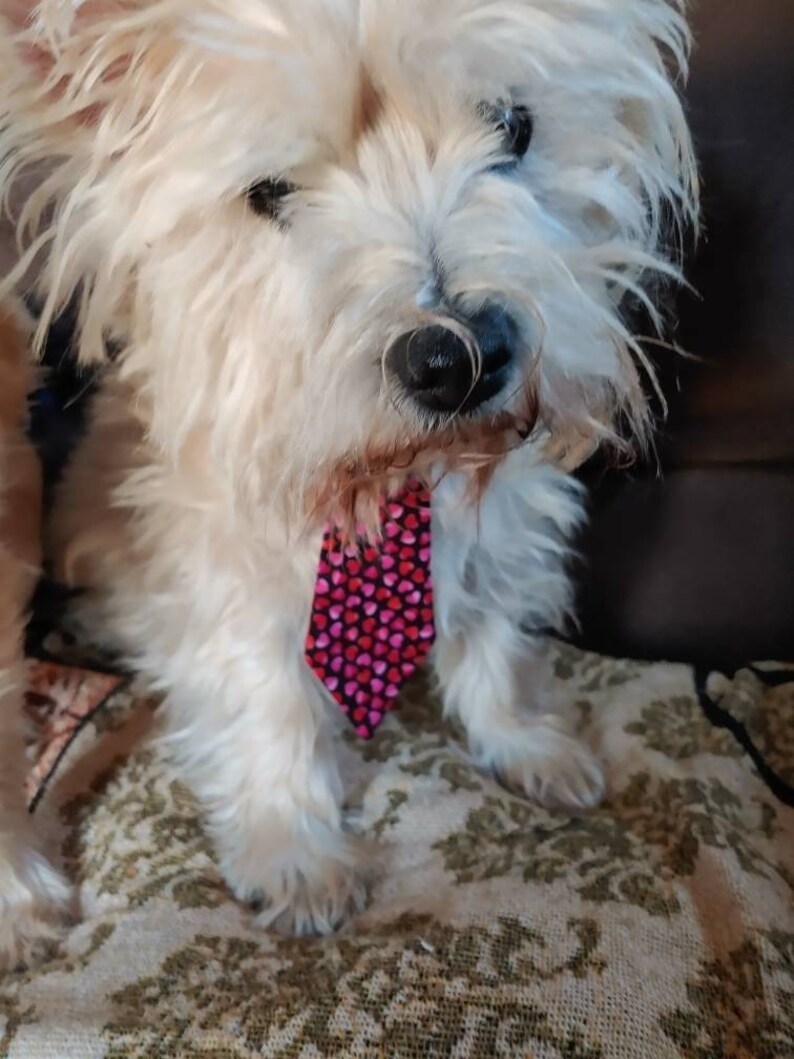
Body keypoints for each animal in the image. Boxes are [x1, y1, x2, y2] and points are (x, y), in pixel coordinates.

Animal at [0, 0, 694, 953]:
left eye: (511, 126)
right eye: (270, 193)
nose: (460, 360)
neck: (392, 484)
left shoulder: (505, 533)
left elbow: (498, 641)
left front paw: (526, 740)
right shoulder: (231, 583)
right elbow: (269, 703)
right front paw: (295, 846)